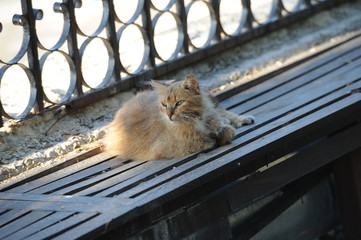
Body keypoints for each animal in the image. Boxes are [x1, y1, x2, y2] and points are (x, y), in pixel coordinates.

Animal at [104, 75, 253, 161]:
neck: (197, 119)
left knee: (225, 113)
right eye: (164, 104)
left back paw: (243, 119)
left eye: (179, 103)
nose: (169, 114)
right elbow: (207, 140)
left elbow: (227, 129)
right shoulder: (171, 147)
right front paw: (216, 138)